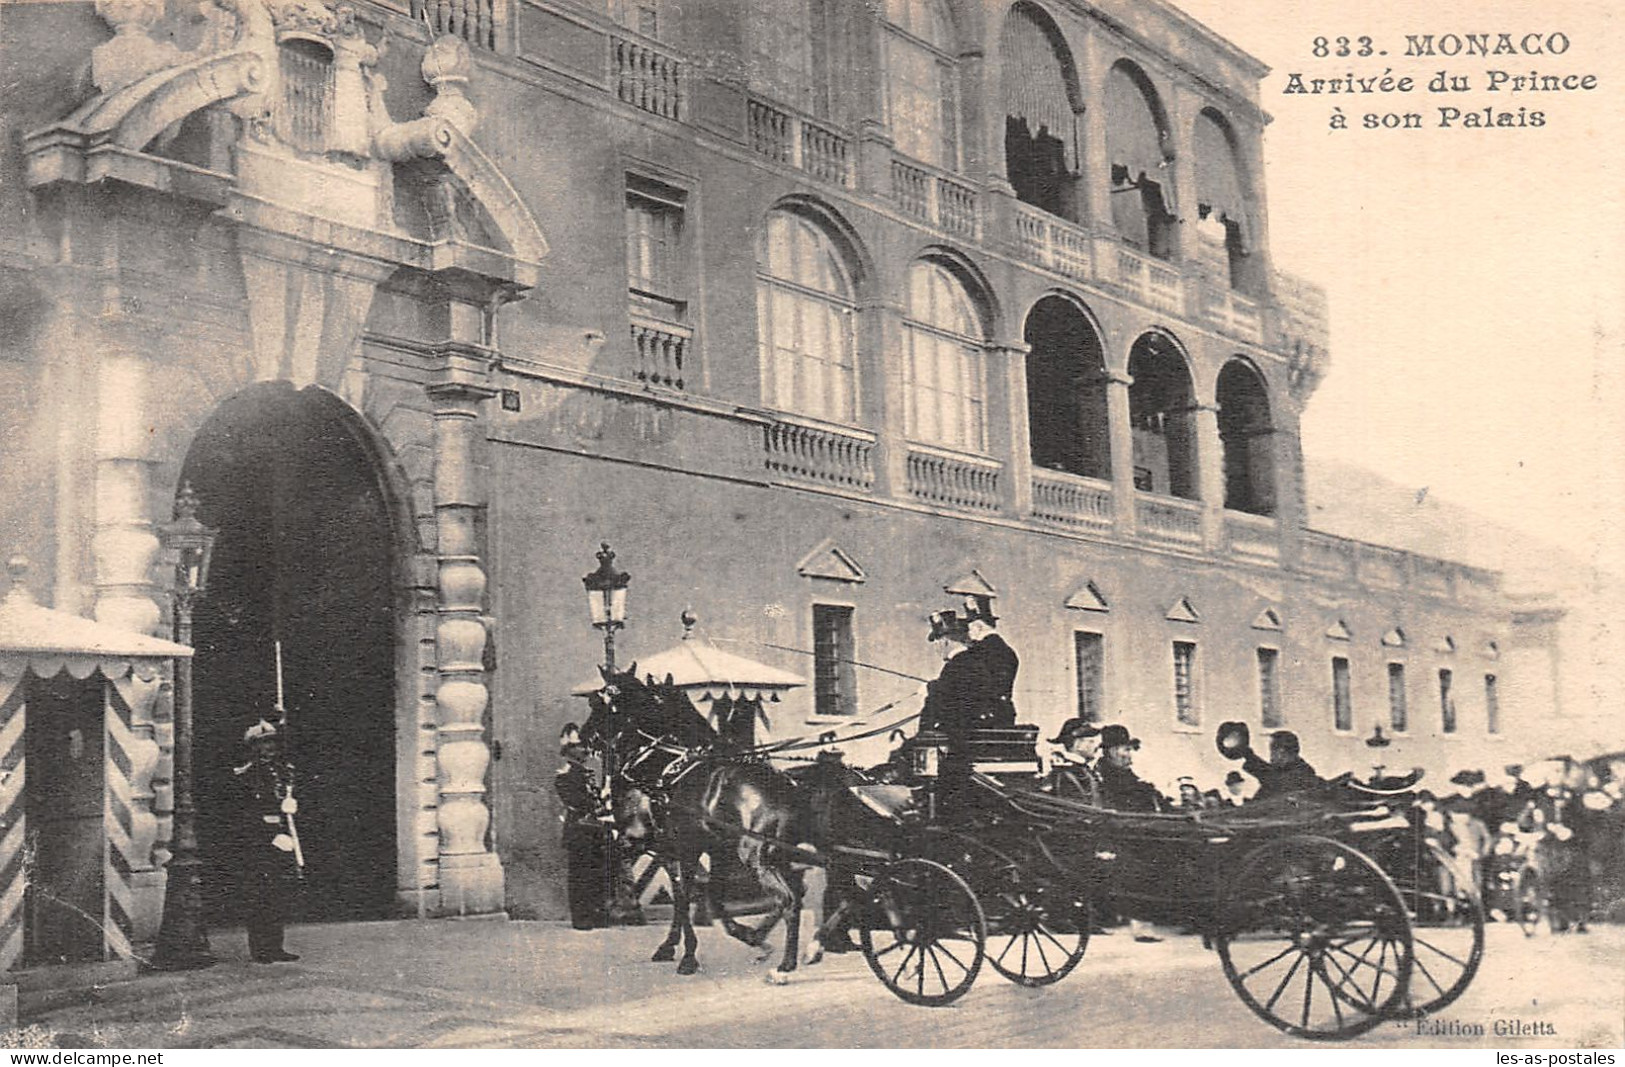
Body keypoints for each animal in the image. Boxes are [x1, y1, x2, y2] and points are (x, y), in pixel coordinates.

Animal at [578, 665, 819, 980]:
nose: (584, 738)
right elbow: (704, 896)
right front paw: (674, 945)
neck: (662, 768)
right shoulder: (688, 850)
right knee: (797, 897)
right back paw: (770, 945)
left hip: (757, 857)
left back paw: (777, 956)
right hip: (781, 857)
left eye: (599, 702)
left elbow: (684, 895)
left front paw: (688, 955)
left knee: (787, 899)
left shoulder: (655, 844)